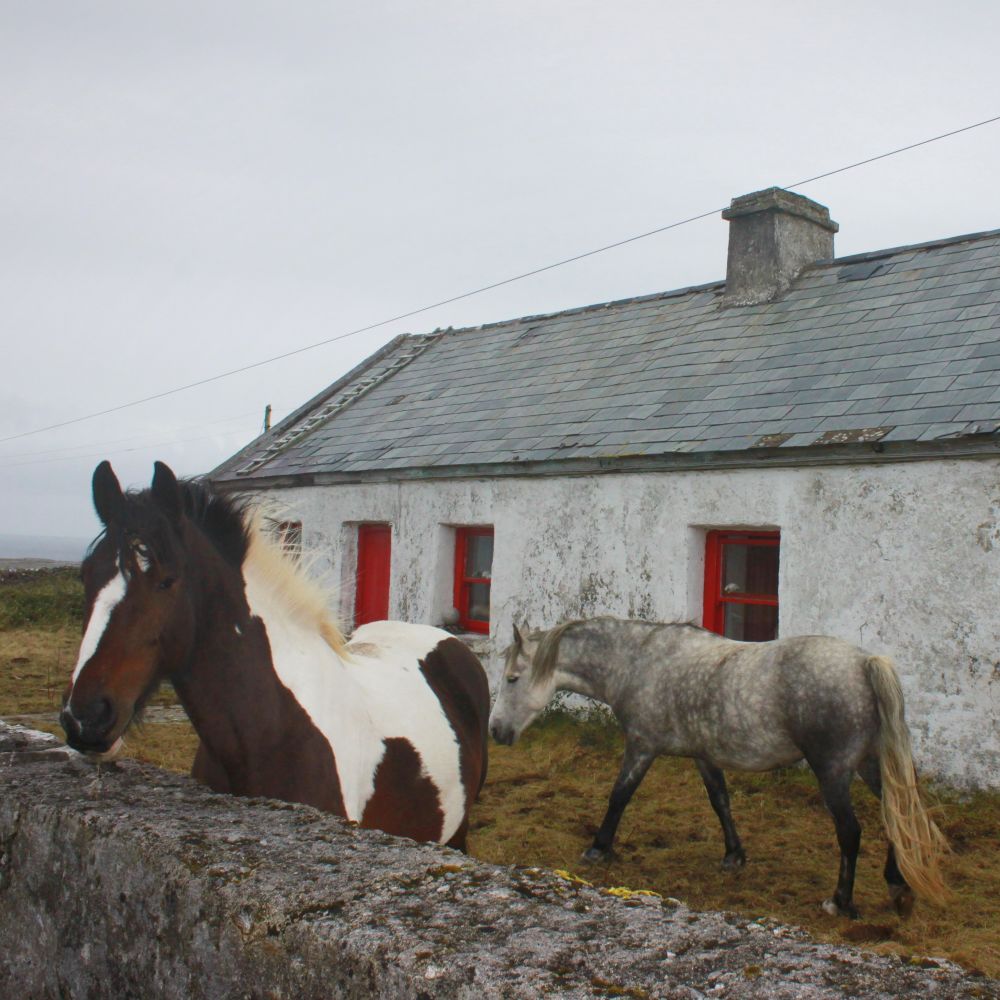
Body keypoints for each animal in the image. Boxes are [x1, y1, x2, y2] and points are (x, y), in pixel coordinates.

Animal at [61, 460, 490, 850]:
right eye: (86, 574)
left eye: (167, 581)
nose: (86, 717)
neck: (270, 731)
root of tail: (448, 641)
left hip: (457, 833)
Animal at [489, 617, 949, 918]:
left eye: (512, 678)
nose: (496, 731)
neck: (639, 662)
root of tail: (864, 663)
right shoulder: (704, 756)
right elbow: (720, 801)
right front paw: (734, 856)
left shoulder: (641, 747)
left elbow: (619, 796)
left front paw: (598, 849)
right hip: (871, 764)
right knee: (900, 816)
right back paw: (898, 884)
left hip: (833, 771)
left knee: (851, 832)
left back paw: (841, 901)